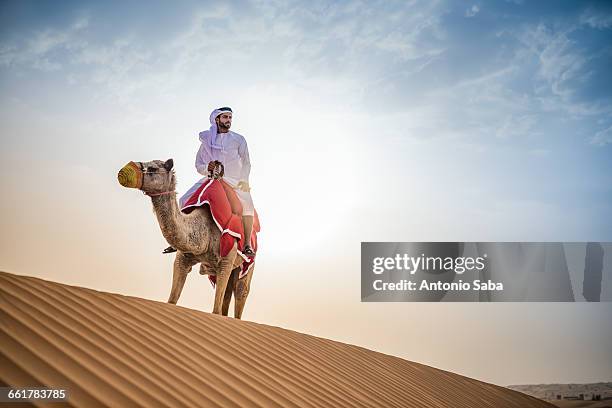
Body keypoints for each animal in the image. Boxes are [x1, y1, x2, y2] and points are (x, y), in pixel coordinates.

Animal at [117, 159, 253, 318]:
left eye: (153, 168)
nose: (124, 171)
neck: (204, 230)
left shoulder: (226, 261)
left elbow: (216, 311)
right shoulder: (183, 258)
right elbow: (172, 300)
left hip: (246, 265)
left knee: (241, 290)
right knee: (228, 294)